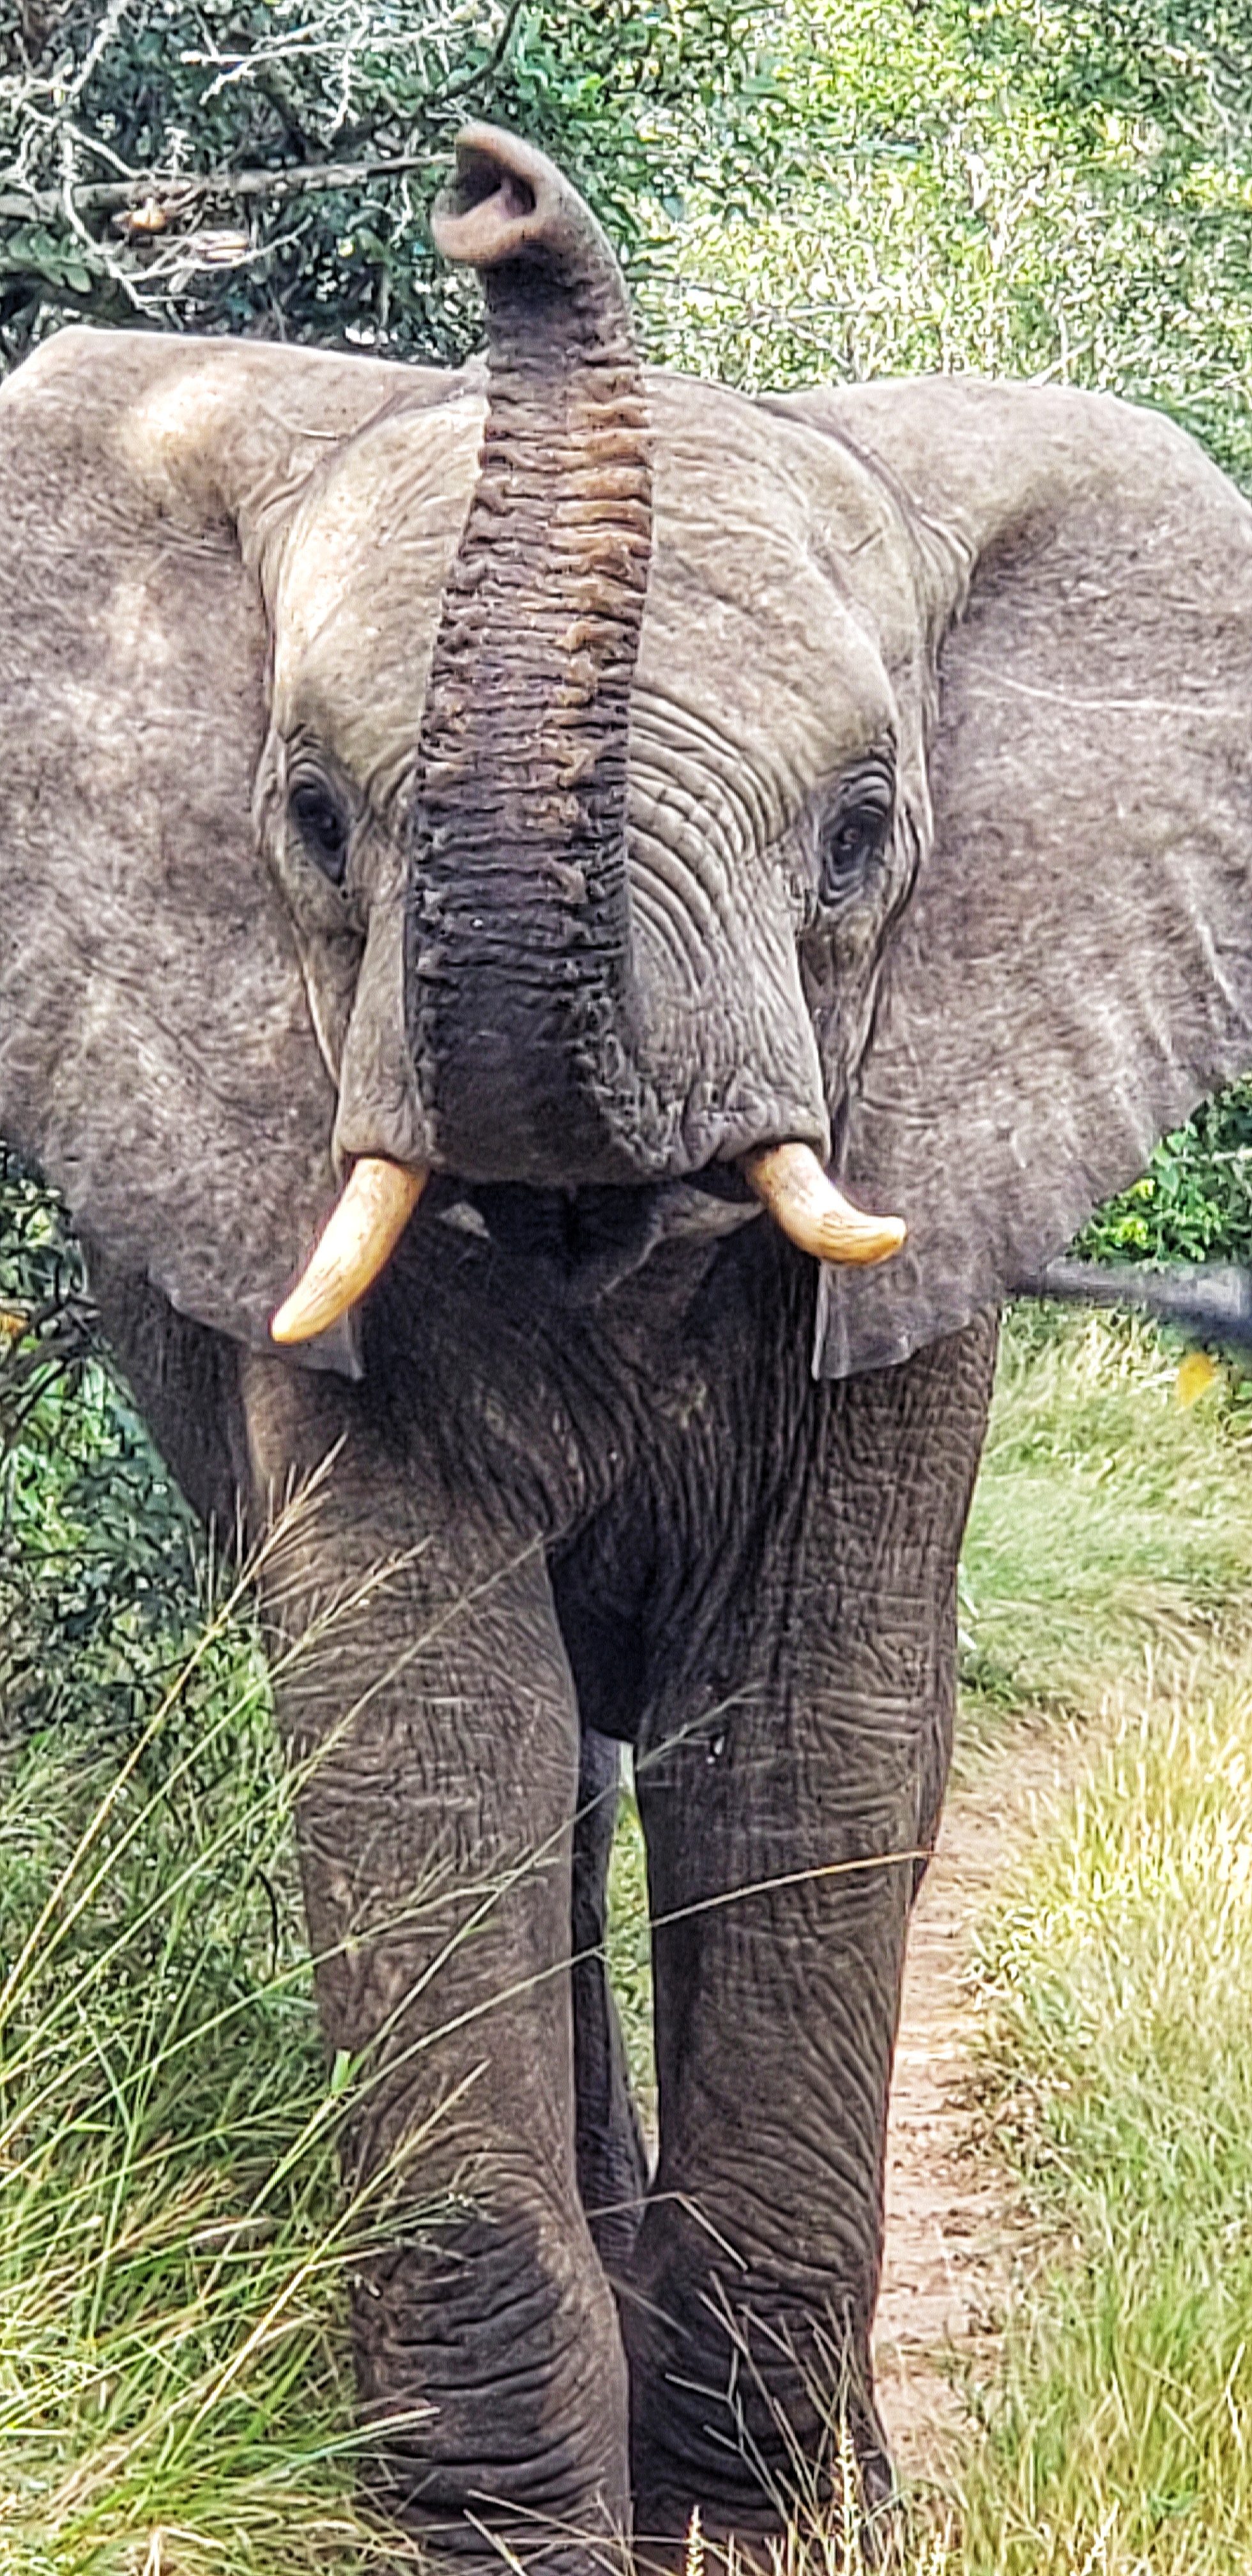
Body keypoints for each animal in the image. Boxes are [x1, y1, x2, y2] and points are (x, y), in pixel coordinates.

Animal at [3, 117, 1252, 2571]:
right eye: (311, 821)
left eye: (862, 838)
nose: (494, 184)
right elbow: (432, 1739)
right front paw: (512, 2540)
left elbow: (801, 1739)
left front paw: (761, 2526)